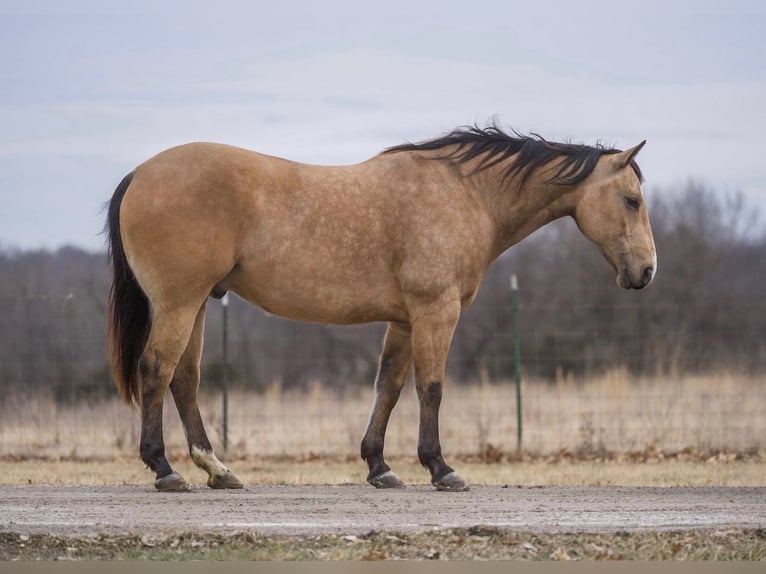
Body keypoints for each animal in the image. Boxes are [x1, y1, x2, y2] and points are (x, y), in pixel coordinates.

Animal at [105, 124, 656, 492]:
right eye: (632, 200)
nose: (647, 271)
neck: (464, 193)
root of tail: (139, 174)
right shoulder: (437, 311)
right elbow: (430, 388)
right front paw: (440, 468)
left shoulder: (405, 320)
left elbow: (387, 387)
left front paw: (379, 467)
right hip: (179, 303)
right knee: (157, 370)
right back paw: (165, 470)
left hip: (197, 304)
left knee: (184, 379)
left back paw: (217, 471)